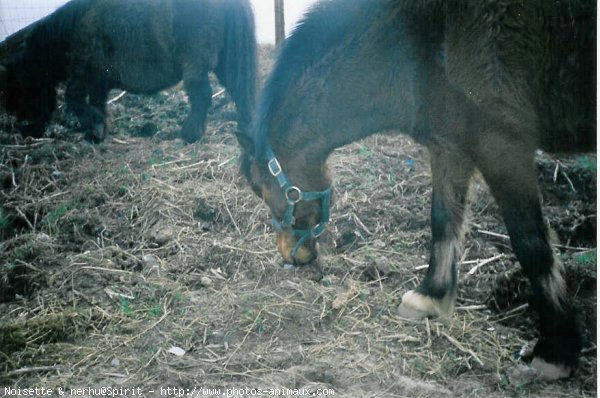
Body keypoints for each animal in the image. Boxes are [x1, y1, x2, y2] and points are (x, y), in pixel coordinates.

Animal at [0, 0, 255, 143]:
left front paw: (95, 127)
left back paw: (190, 134)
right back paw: (245, 128)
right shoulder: (99, 80)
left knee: (202, 95)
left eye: (19, 87)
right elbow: (97, 103)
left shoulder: (83, 75)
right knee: (239, 91)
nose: (26, 130)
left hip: (195, 64)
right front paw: (97, 131)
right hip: (225, 62)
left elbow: (75, 100)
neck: (72, 30)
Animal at [239, 0, 596, 380]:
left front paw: (556, 350)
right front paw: (430, 296)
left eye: (260, 187)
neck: (421, 41)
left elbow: (531, 245)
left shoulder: (503, 148)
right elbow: (443, 221)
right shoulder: (449, 147)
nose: (293, 256)